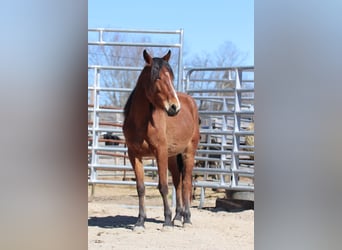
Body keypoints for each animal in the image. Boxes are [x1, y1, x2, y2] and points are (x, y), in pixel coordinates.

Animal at [123, 49, 199, 229]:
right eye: (157, 77)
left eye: (170, 77)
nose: (174, 107)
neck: (142, 122)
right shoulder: (134, 155)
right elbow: (140, 187)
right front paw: (140, 221)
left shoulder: (160, 152)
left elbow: (163, 186)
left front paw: (167, 222)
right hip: (172, 157)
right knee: (178, 182)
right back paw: (178, 216)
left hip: (188, 153)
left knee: (186, 183)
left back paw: (186, 219)